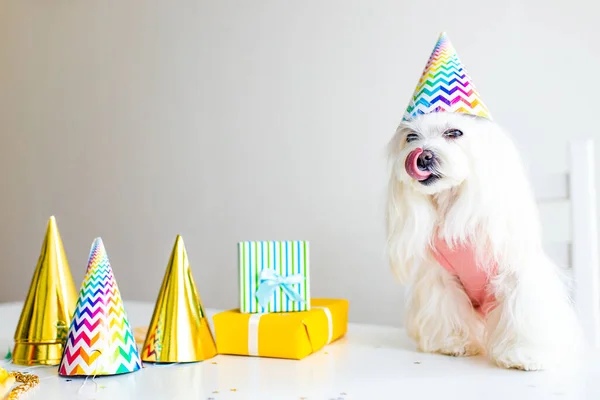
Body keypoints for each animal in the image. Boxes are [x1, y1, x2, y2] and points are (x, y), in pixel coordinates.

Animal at [384, 111, 580, 370]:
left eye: (454, 133)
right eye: (411, 137)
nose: (423, 155)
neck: (452, 203)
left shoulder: (517, 275)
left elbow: (522, 312)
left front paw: (524, 354)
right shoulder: (442, 277)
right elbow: (447, 307)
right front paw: (453, 342)